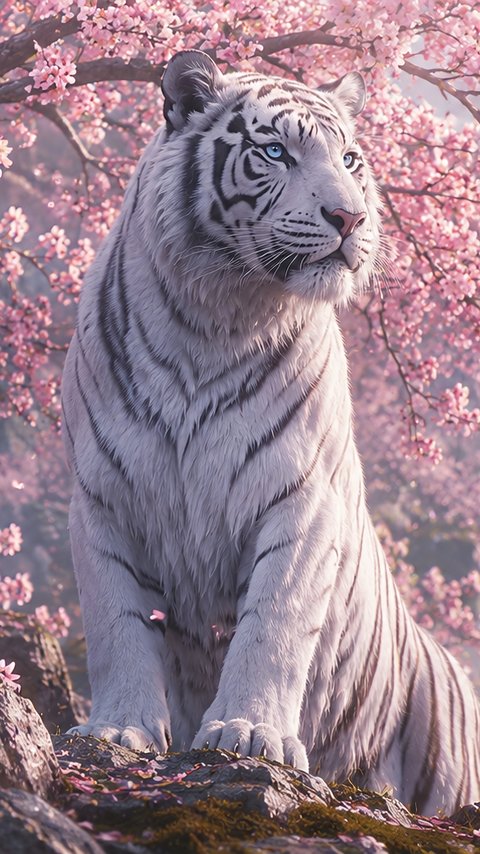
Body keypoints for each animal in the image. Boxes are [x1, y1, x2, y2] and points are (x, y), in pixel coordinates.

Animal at [61, 49, 480, 816]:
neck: (213, 314)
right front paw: (117, 731)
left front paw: (248, 735)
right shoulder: (101, 497)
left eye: (350, 158)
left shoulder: (303, 500)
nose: (350, 216)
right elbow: (116, 622)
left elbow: (274, 625)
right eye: (276, 152)